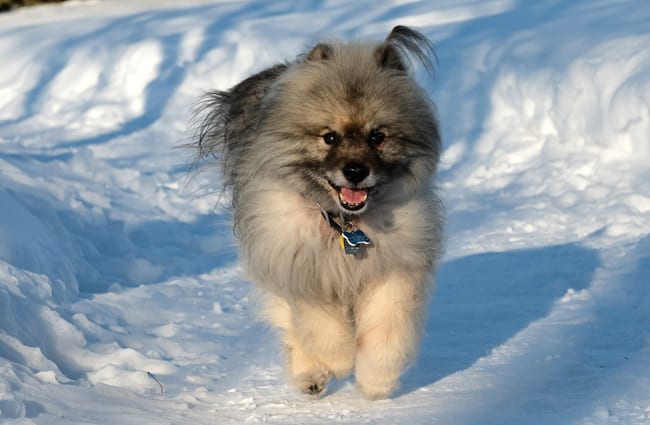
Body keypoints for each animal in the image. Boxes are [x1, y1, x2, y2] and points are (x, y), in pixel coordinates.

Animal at [190, 25, 442, 398]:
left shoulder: (394, 268)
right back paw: (310, 375)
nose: (355, 171)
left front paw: (376, 380)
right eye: (330, 137)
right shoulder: (301, 268)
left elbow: (386, 329)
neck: (342, 223)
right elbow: (321, 326)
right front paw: (338, 360)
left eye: (377, 136)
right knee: (292, 327)